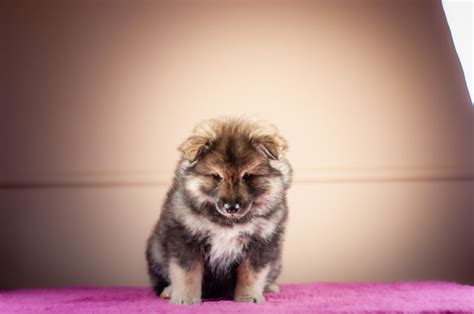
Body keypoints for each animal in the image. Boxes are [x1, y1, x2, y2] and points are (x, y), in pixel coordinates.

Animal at [146, 117, 290, 304]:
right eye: (217, 177)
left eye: (247, 176)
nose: (231, 208)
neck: (229, 222)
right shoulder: (185, 238)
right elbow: (186, 273)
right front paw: (185, 298)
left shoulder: (261, 242)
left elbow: (251, 275)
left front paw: (248, 297)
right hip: (156, 252)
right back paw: (169, 291)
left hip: (276, 261)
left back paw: (270, 287)